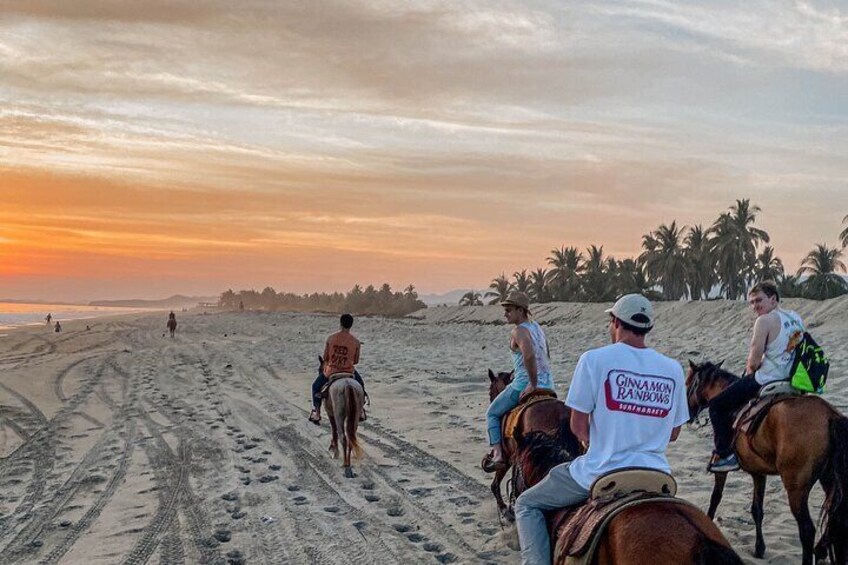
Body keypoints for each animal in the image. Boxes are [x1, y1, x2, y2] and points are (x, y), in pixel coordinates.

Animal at [684, 362, 848, 564]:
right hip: (829, 480)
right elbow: (757, 510)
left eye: (688, 383)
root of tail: (830, 415)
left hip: (796, 488)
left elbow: (715, 498)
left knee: (807, 530)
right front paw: (759, 548)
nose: (687, 414)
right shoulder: (759, 473)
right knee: (836, 520)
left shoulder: (721, 469)